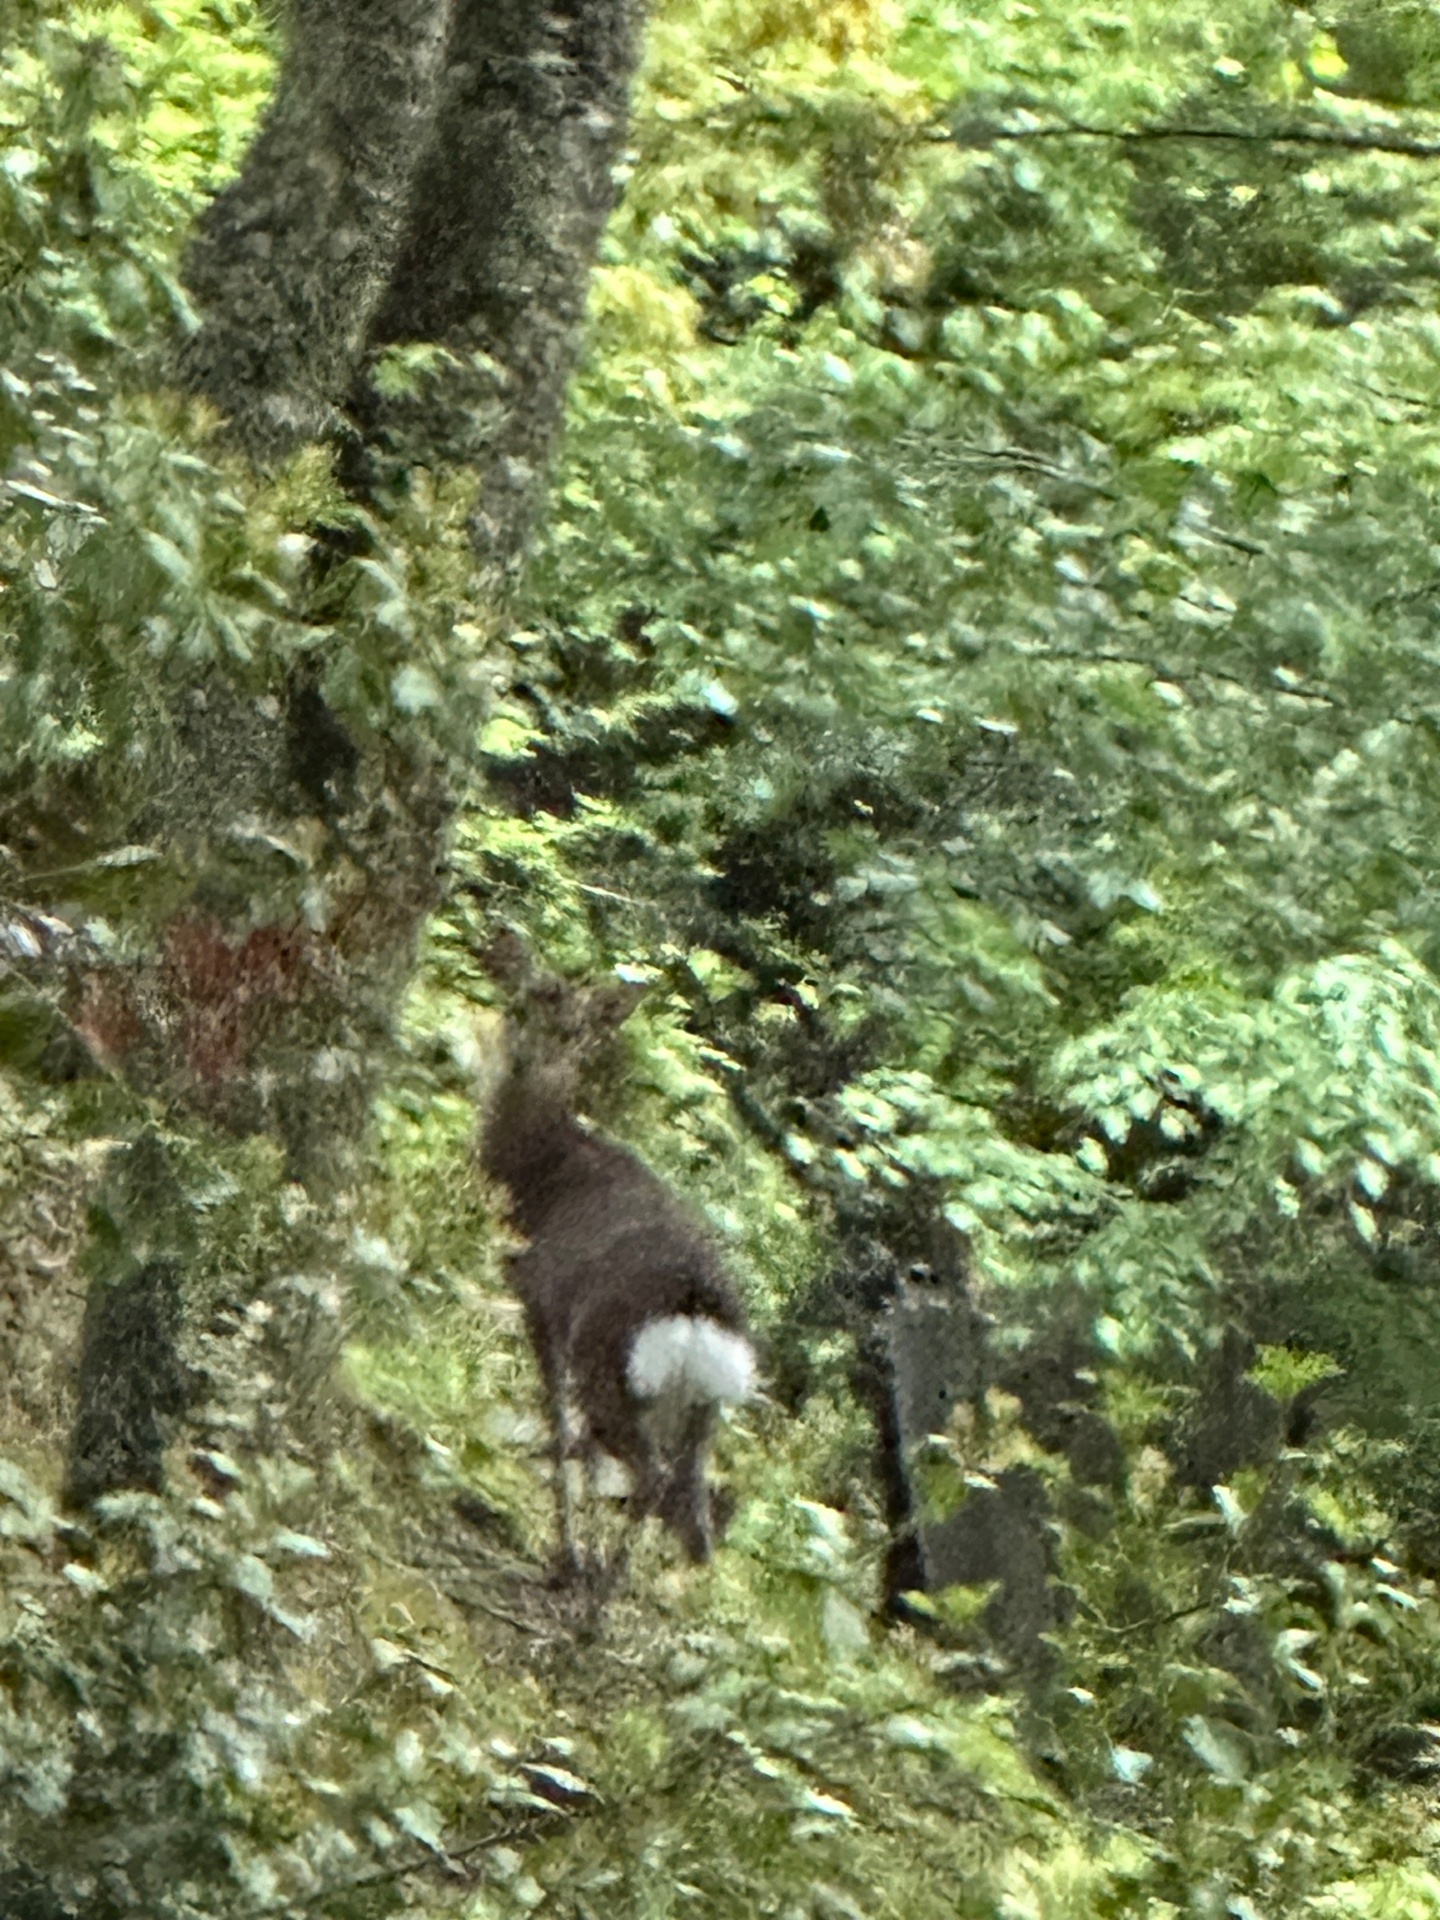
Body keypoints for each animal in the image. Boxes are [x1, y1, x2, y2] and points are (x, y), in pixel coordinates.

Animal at [476, 934, 756, 1574]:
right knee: (693, 1509)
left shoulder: (542, 1301)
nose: (531, 1054)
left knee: (651, 1477)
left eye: (577, 1028)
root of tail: (696, 1314)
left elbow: (559, 1431)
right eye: (528, 997)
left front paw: (568, 1547)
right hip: (705, 1409)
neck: (537, 1177)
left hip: (616, 1368)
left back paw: (590, 1583)